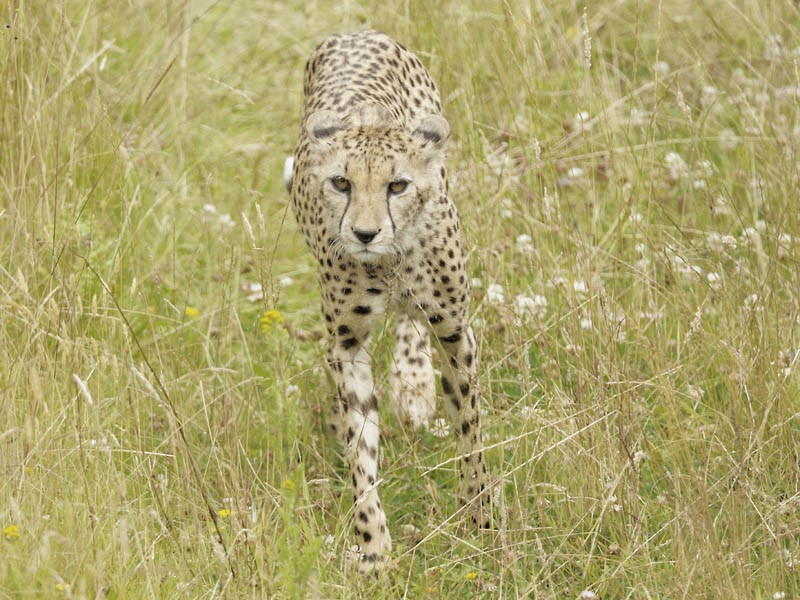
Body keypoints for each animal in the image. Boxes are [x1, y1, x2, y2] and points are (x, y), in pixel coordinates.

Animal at [286, 30, 491, 572]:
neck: (390, 261)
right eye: (341, 182)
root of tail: (356, 30)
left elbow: (471, 430)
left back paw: (414, 382)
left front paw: (479, 517)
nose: (364, 233)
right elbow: (360, 450)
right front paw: (373, 547)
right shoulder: (346, 344)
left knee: (411, 320)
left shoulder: (456, 331)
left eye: (397, 185)